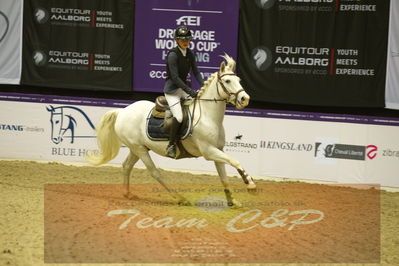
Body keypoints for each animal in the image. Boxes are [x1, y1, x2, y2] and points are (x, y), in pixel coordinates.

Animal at [86, 55, 258, 207]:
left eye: (239, 80)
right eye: (228, 81)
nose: (245, 99)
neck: (207, 116)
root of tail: (122, 111)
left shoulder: (218, 150)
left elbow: (224, 177)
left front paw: (232, 201)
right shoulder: (209, 151)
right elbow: (235, 161)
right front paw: (250, 184)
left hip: (137, 148)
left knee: (127, 166)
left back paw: (127, 193)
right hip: (139, 149)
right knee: (155, 172)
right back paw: (180, 198)